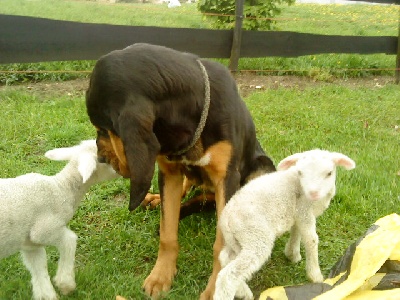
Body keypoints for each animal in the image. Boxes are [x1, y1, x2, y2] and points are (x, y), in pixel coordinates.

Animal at [0, 141, 119, 300]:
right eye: (105, 157)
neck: (62, 189)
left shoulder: (30, 244)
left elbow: (39, 269)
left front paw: (47, 295)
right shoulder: (44, 230)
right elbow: (70, 240)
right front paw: (66, 283)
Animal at [86, 43, 276, 298]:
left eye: (102, 129)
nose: (101, 158)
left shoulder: (227, 178)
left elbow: (221, 244)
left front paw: (215, 289)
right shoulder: (168, 172)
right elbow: (168, 232)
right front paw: (160, 277)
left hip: (262, 169)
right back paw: (157, 199)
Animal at [214, 149, 354, 298]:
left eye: (329, 173)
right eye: (300, 173)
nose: (313, 193)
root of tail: (226, 218)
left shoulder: (298, 213)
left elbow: (296, 232)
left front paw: (292, 254)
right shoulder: (304, 211)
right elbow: (311, 240)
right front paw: (315, 276)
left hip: (237, 239)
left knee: (225, 258)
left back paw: (243, 292)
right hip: (255, 235)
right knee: (228, 275)